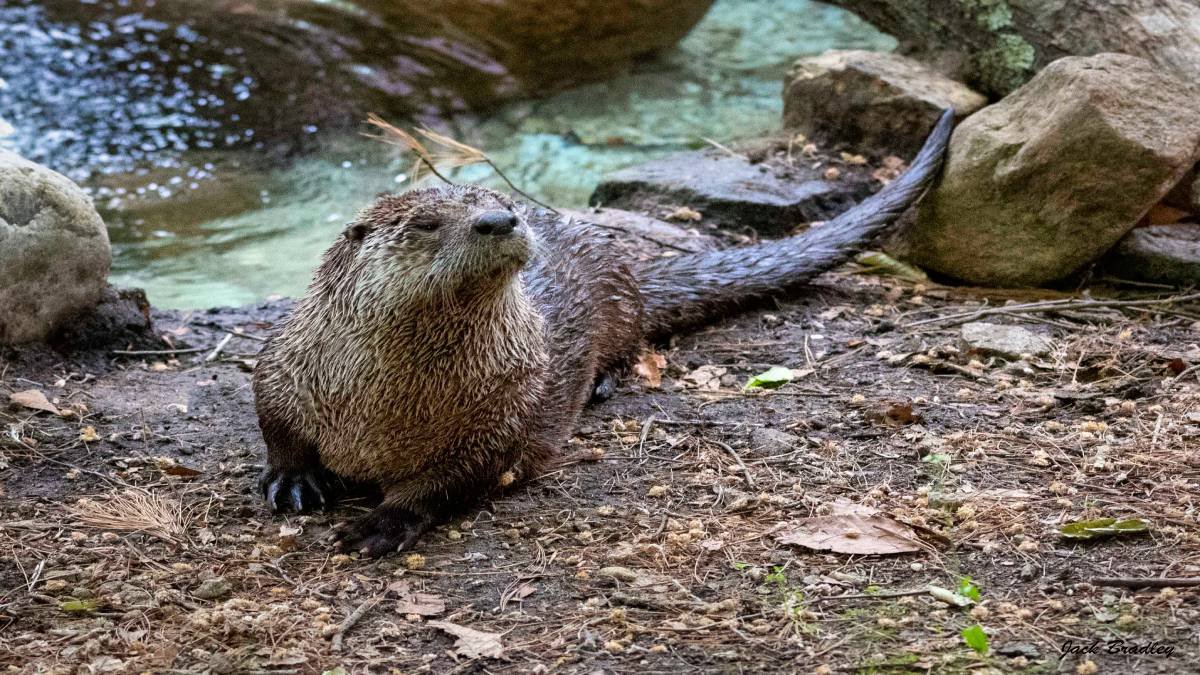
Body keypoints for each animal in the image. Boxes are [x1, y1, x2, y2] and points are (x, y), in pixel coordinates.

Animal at [253, 111, 953, 556]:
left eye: (494, 200)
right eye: (426, 223)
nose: (499, 219)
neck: (381, 409)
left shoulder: (500, 417)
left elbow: (451, 481)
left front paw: (384, 523)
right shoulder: (287, 363)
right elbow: (275, 421)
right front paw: (293, 480)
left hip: (615, 299)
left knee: (633, 339)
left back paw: (603, 383)